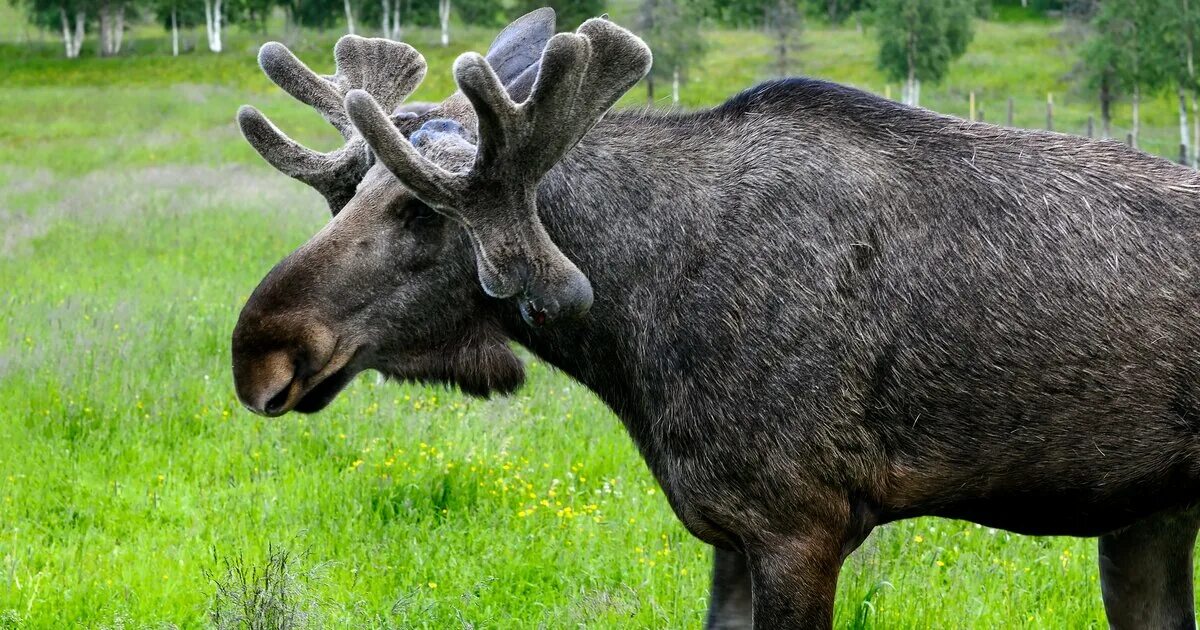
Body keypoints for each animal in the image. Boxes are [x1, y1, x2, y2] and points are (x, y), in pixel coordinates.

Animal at [229, 7, 1200, 624]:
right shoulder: (732, 531)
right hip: (1148, 523)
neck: (634, 333)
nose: (259, 351)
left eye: (424, 213)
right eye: (353, 191)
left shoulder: (801, 525)